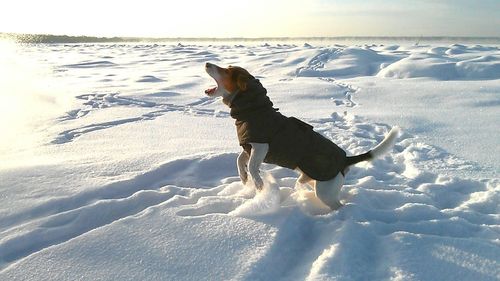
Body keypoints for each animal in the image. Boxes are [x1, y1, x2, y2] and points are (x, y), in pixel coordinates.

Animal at [204, 62, 398, 209]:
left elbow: (252, 167)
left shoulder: (261, 146)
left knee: (338, 205)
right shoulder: (249, 147)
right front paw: (244, 178)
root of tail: (345, 160)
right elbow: (240, 161)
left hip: (325, 191)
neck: (253, 109)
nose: (206, 63)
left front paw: (259, 185)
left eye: (226, 71)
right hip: (311, 179)